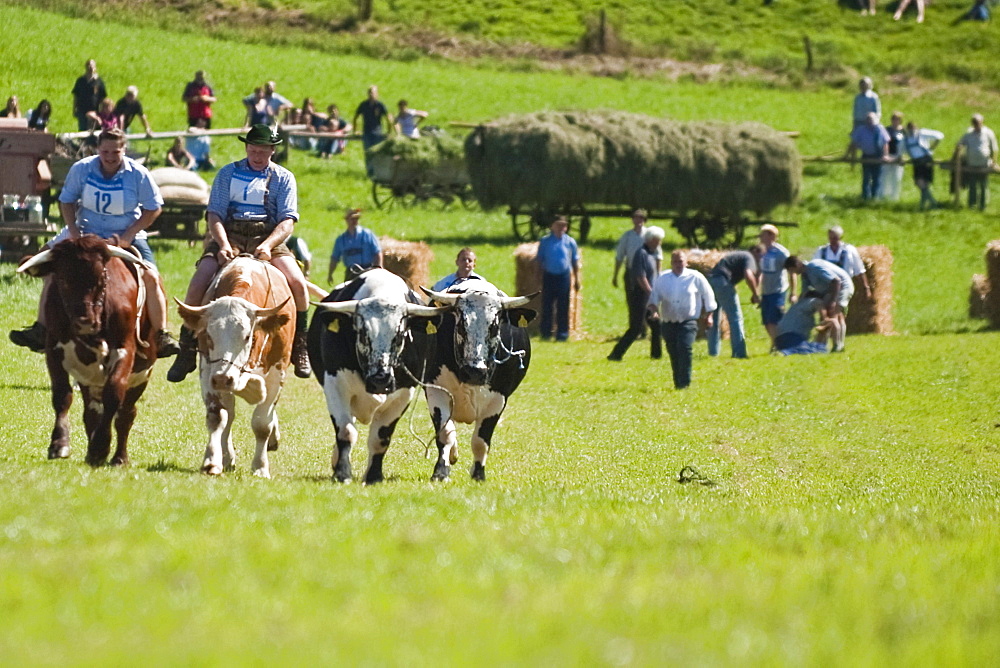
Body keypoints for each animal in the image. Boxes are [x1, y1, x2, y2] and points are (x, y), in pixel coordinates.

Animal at [304, 270, 446, 486]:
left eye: (400, 335)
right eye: (362, 334)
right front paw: (342, 473)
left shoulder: (403, 393)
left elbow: (380, 438)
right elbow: (345, 431)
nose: (380, 380)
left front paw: (373, 476)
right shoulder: (336, 384)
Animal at [418, 280, 536, 480]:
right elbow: (445, 435)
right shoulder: (436, 390)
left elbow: (481, 441)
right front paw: (441, 471)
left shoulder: (498, 398)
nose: (475, 371)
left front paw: (478, 474)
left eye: (495, 327)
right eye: (460, 326)